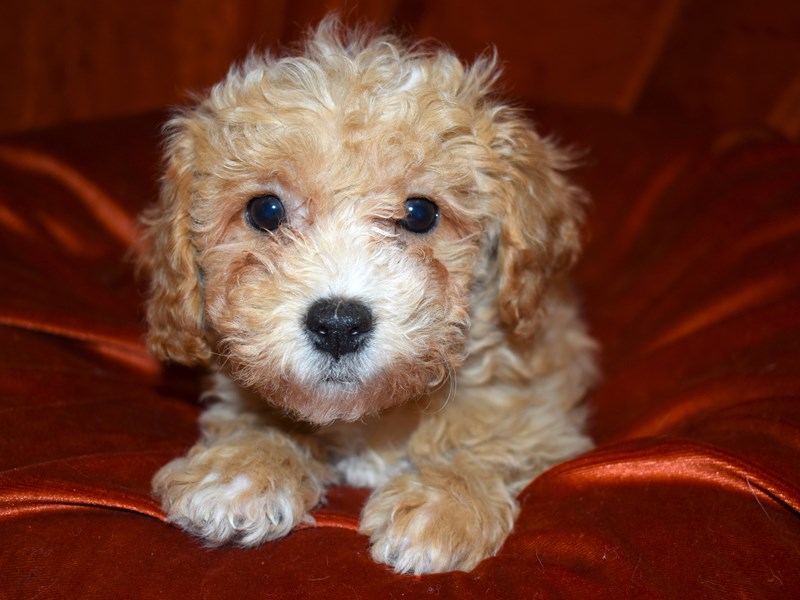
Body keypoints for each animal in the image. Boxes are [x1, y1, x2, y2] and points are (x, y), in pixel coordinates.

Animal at [141, 16, 596, 576]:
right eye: (265, 210)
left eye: (420, 213)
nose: (338, 324)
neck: (372, 417)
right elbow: (259, 415)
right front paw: (239, 468)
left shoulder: (543, 411)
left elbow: (495, 435)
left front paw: (447, 503)